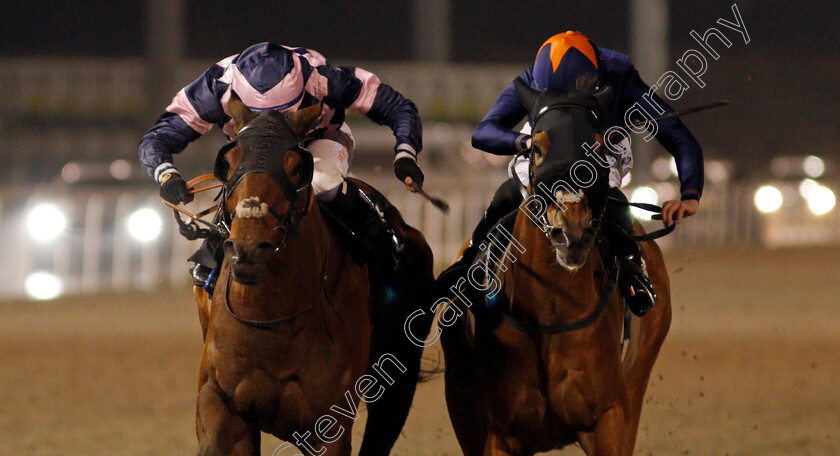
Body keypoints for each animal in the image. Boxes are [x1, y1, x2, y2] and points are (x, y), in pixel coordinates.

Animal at [194, 94, 436, 454]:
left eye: (296, 168)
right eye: (229, 162)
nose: (248, 249)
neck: (270, 322)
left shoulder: (330, 425)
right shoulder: (221, 404)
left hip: (398, 377)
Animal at [440, 76, 668, 454]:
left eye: (597, 148)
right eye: (536, 149)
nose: (572, 230)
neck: (550, 312)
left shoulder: (609, 419)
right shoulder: (500, 434)